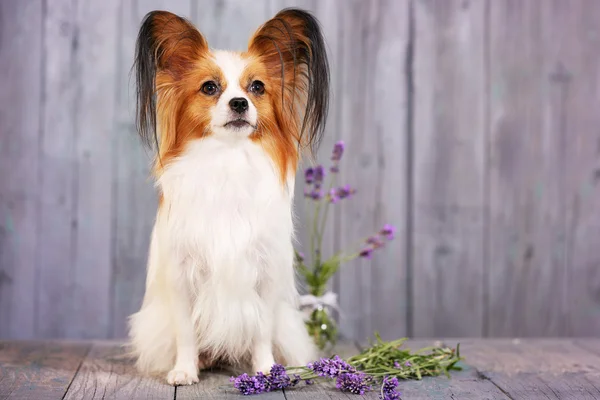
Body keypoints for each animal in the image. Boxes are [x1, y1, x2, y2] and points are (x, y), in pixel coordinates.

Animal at [127, 7, 330, 386]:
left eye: (257, 87)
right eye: (210, 87)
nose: (239, 102)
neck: (228, 158)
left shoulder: (265, 273)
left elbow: (261, 331)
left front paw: (265, 370)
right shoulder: (182, 274)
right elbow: (187, 333)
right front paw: (184, 370)